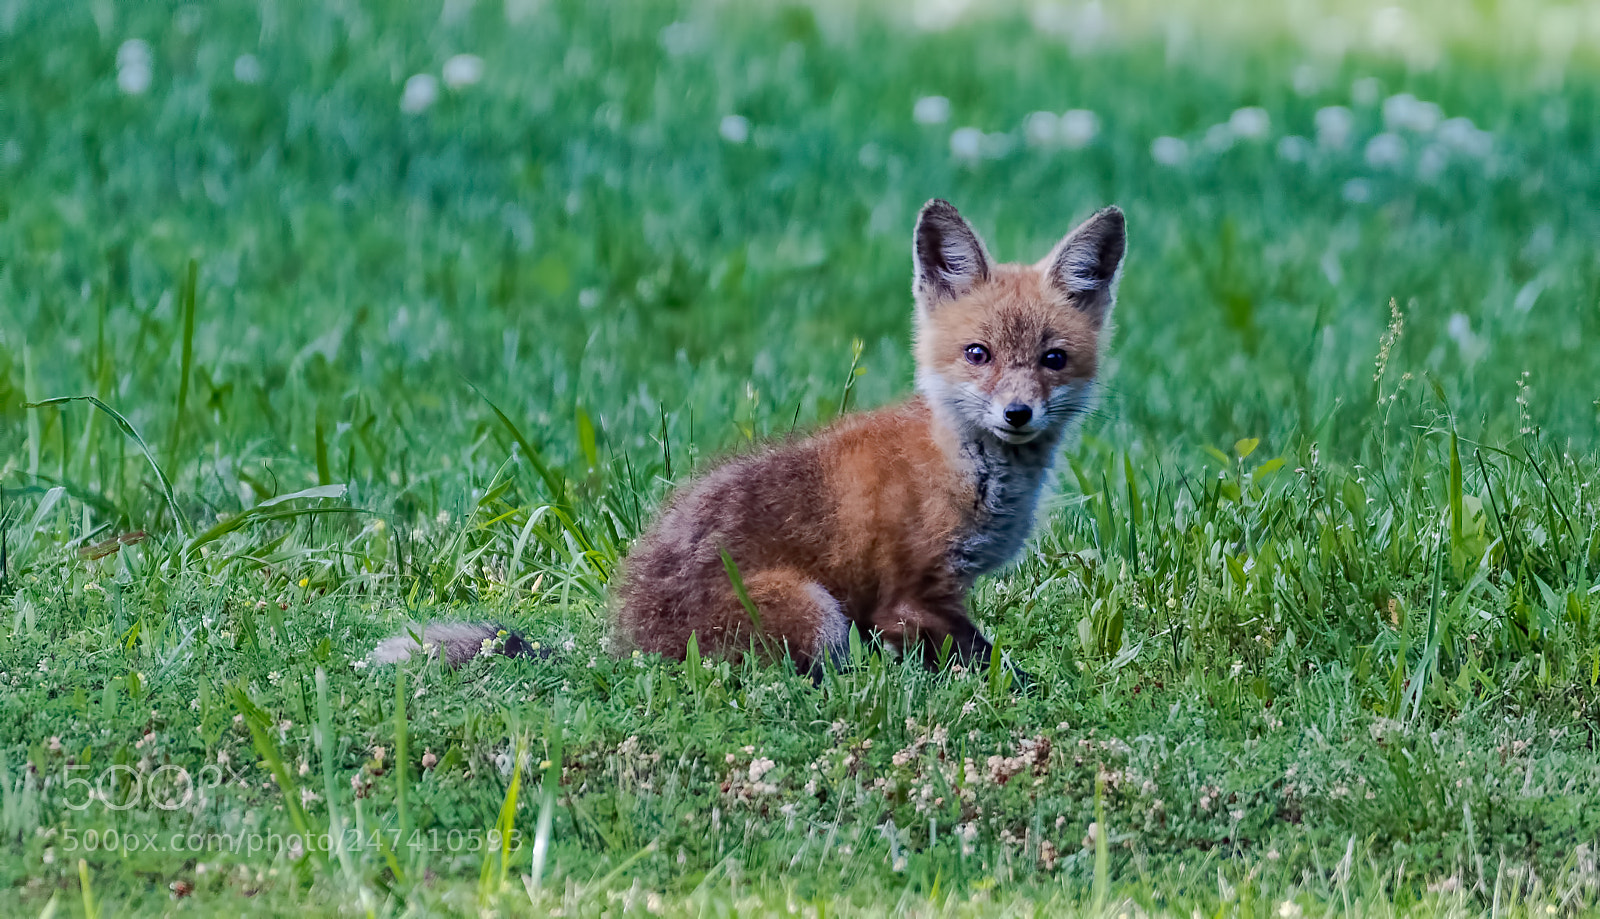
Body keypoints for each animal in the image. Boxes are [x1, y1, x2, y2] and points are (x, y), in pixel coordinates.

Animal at [372, 199, 1126, 680]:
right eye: (978, 354)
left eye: (1053, 358)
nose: (1018, 413)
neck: (967, 468)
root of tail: (631, 645)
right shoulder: (913, 596)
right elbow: (993, 663)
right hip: (818, 614)